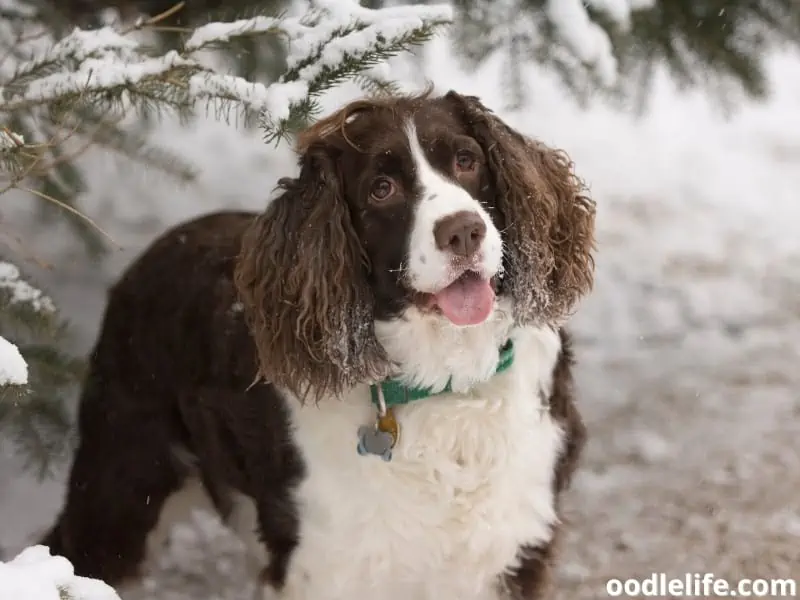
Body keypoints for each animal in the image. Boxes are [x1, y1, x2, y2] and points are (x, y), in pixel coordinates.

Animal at [42, 89, 592, 600]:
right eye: (382, 189)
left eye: (466, 160)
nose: (465, 232)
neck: (445, 386)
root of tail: (159, 246)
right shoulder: (324, 563)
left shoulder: (516, 546)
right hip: (123, 479)